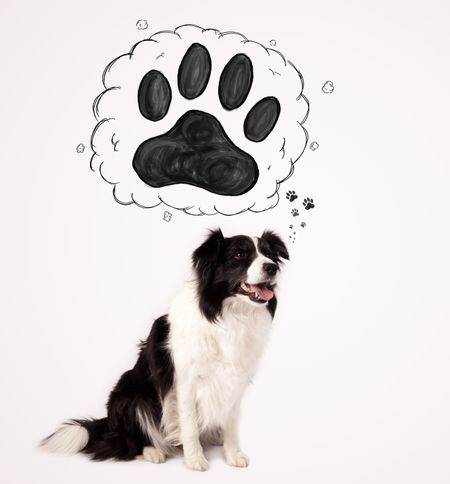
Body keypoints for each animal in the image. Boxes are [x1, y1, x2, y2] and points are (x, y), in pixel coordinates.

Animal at [41, 229, 288, 470]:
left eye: (268, 254)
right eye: (238, 254)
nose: (271, 267)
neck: (226, 315)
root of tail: (108, 425)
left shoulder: (234, 379)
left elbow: (232, 423)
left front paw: (233, 454)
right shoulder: (185, 382)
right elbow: (189, 424)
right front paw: (194, 459)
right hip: (131, 398)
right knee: (127, 443)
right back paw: (152, 452)